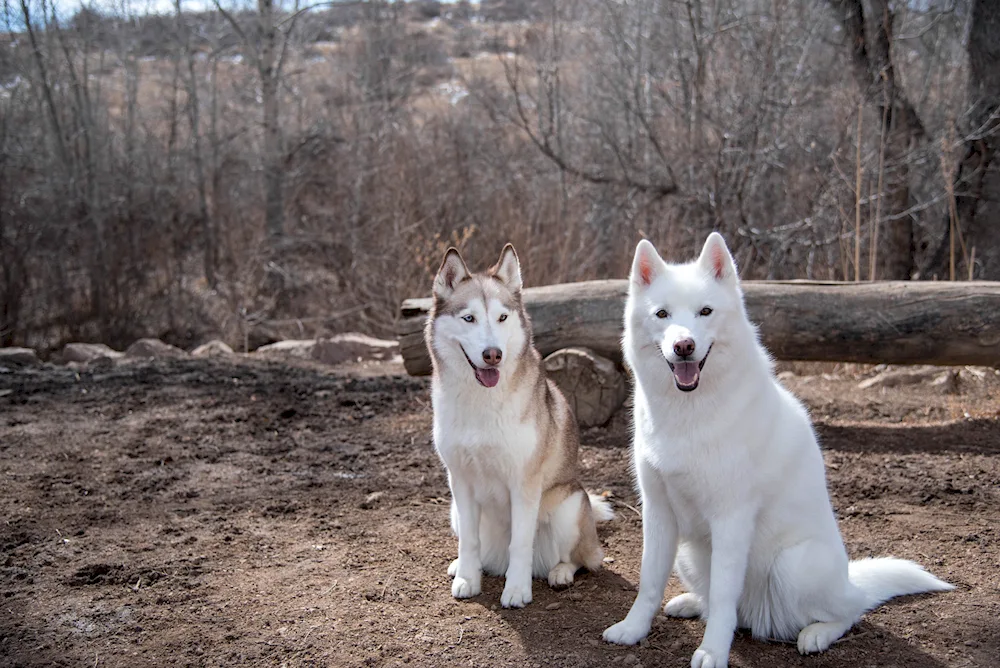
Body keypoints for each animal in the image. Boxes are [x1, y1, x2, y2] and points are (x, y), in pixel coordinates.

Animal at [426, 243, 612, 608]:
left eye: (502, 318)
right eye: (469, 318)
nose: (493, 354)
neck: (481, 401)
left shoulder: (524, 482)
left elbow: (521, 543)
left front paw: (516, 590)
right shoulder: (460, 481)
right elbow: (469, 540)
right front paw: (467, 578)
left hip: (569, 506)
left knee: (581, 558)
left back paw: (560, 572)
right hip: (453, 510)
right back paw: (468, 567)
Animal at [600, 232, 952, 664]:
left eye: (705, 311)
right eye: (662, 314)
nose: (684, 346)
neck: (689, 411)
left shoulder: (731, 518)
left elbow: (723, 597)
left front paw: (713, 652)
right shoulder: (658, 511)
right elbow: (649, 581)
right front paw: (633, 629)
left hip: (793, 566)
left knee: (849, 611)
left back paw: (816, 634)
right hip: (690, 553)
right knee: (725, 603)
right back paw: (692, 603)